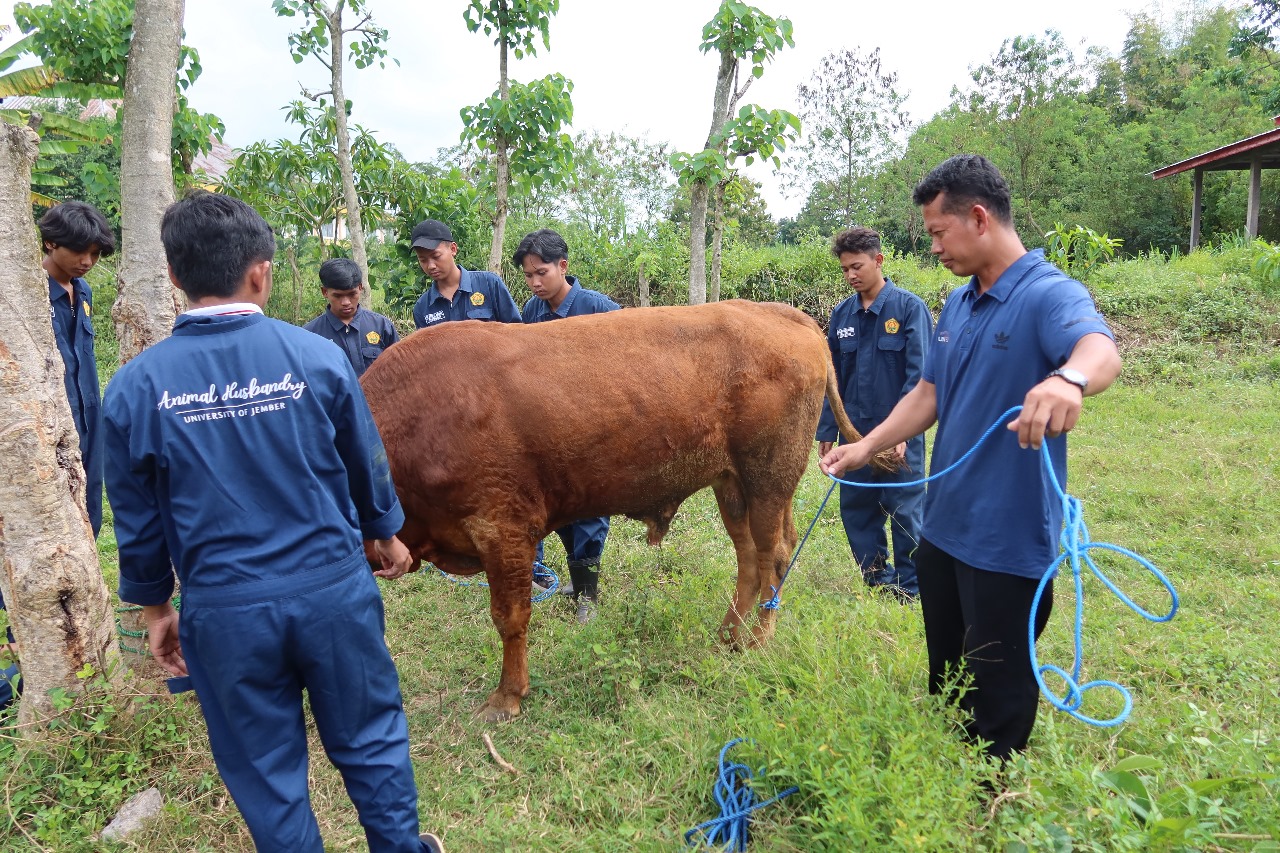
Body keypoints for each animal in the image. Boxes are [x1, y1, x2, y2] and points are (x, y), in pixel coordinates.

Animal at [360, 298, 880, 717]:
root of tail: (782, 314)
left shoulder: (502, 530)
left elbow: (510, 618)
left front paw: (506, 697)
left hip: (768, 480)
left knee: (775, 555)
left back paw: (756, 641)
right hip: (733, 486)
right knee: (751, 558)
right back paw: (728, 636)